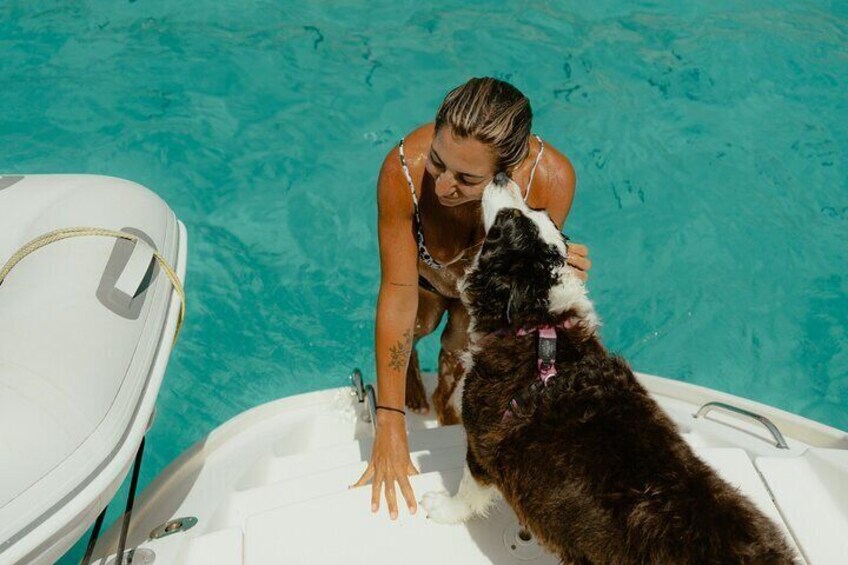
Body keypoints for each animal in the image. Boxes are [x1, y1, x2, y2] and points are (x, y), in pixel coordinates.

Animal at [420, 173, 797, 564]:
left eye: (504, 224)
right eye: (541, 213)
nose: (501, 176)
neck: (540, 324)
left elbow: (468, 491)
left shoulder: (482, 442)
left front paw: (441, 507)